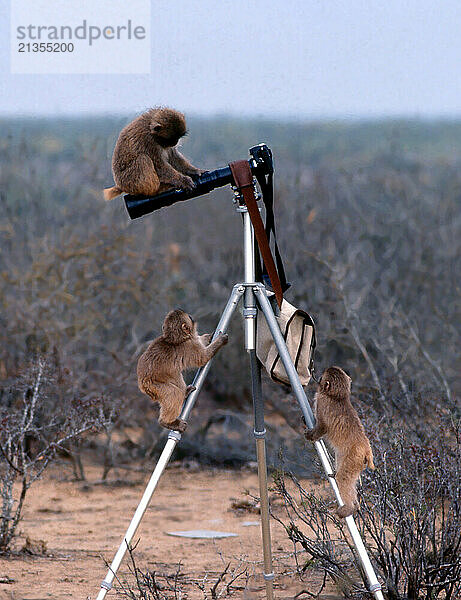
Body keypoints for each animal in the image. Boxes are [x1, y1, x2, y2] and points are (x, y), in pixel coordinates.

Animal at [306, 364, 374, 516]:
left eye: (322, 377)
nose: (317, 377)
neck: (337, 396)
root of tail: (366, 449)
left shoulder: (322, 402)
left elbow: (323, 427)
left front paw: (310, 436)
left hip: (354, 457)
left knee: (343, 478)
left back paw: (349, 507)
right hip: (354, 461)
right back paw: (355, 506)